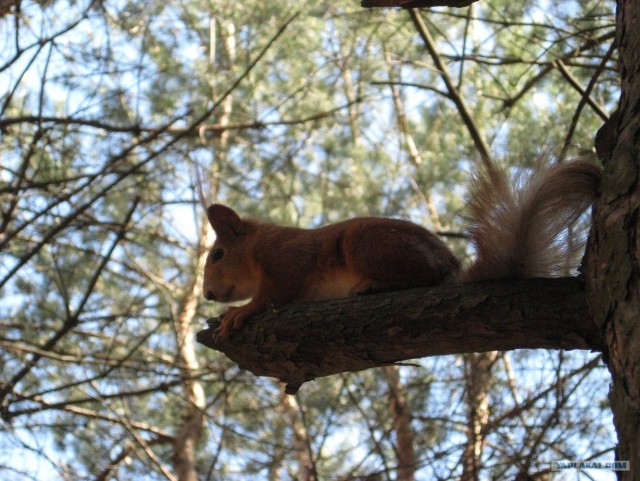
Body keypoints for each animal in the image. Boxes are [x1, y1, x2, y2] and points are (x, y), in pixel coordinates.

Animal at [202, 159, 604, 340]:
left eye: (218, 254)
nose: (207, 294)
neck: (256, 247)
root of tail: (452, 269)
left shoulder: (285, 259)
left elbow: (273, 292)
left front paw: (239, 312)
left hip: (364, 244)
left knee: (421, 276)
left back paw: (371, 285)